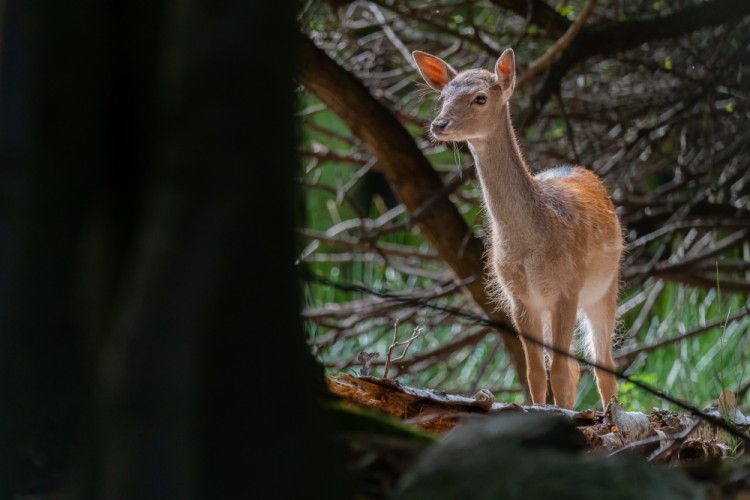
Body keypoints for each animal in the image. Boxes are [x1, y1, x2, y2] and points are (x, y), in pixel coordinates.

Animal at [414, 47, 624, 410]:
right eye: (442, 96)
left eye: (480, 97)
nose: (439, 124)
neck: (531, 243)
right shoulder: (519, 297)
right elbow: (535, 372)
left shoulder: (567, 288)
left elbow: (558, 371)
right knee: (574, 367)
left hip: (605, 286)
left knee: (602, 363)